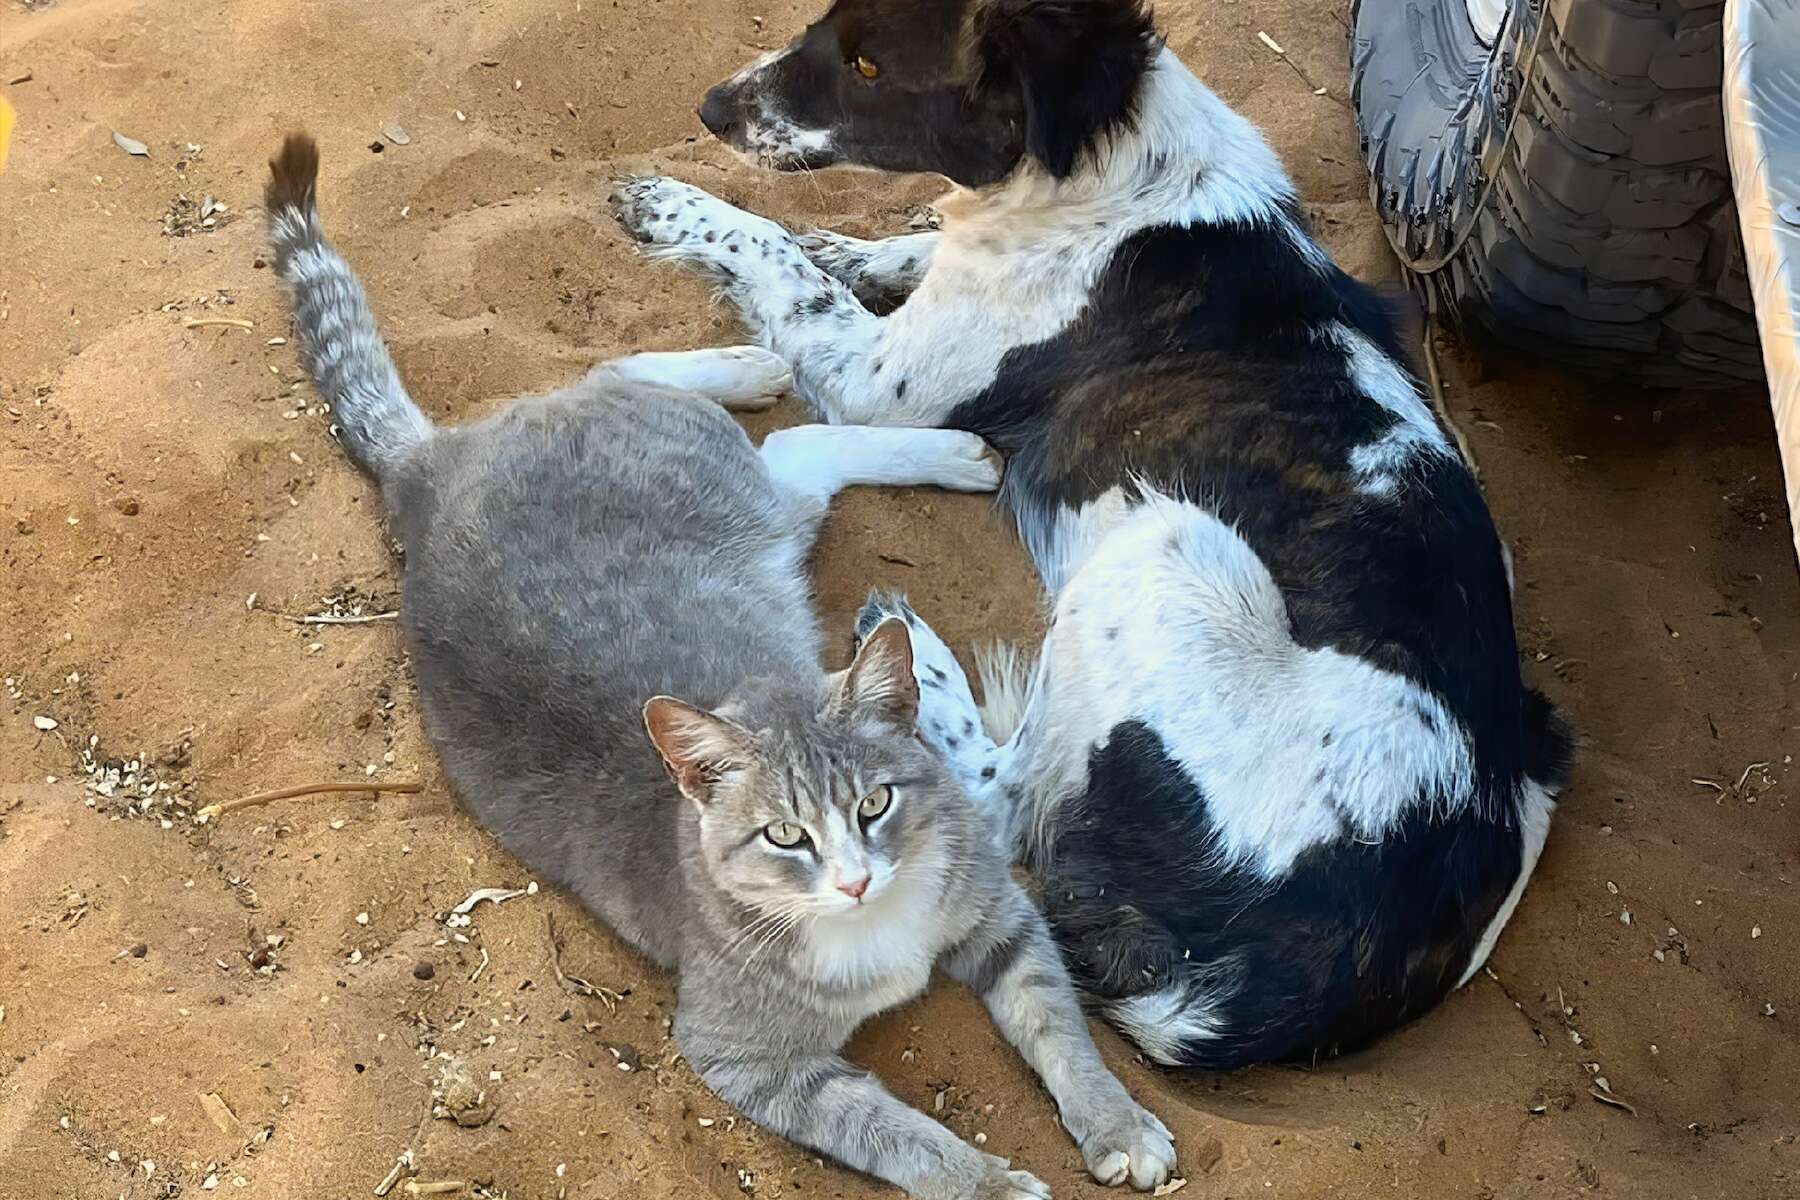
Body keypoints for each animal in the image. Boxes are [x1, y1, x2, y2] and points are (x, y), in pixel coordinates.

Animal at [261, 135, 1173, 1200]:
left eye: (876, 805)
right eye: (784, 835)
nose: (854, 881)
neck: (873, 930)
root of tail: (426, 475)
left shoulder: (1003, 916)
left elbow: (1059, 1026)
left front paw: (1116, 1122)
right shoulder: (753, 1063)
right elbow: (901, 1134)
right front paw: (989, 1181)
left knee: (689, 396)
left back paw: (811, 391)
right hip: (746, 496)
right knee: (782, 437)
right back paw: (838, 401)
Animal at [608, 0, 1576, 1072]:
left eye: (867, 65)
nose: (710, 108)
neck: (1117, 175)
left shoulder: (875, 381)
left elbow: (770, 246)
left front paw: (675, 203)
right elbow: (878, 246)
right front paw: (864, 248)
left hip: (1171, 544)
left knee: (1002, 793)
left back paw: (915, 663)